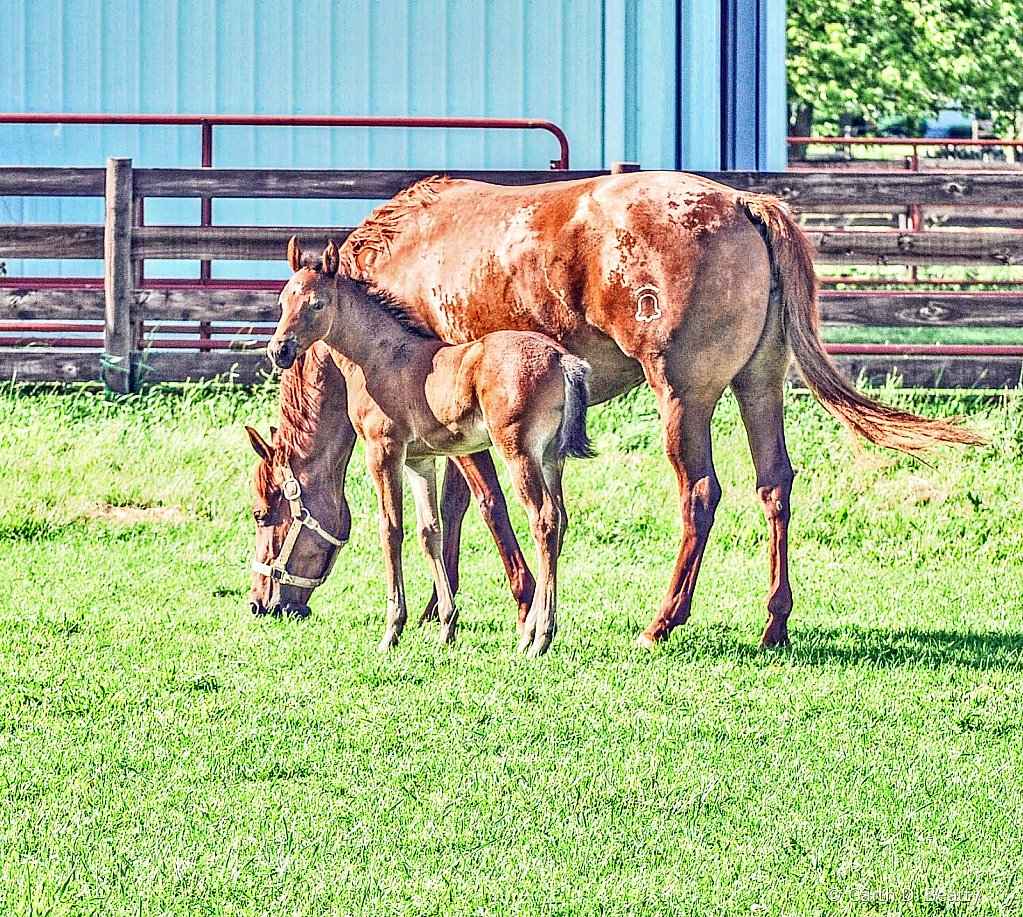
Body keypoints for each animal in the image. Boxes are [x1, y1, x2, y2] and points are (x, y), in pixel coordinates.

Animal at [251, 167, 977, 646]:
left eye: (264, 514)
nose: (262, 602)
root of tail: (744, 202)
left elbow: (487, 508)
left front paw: (519, 604)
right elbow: (454, 512)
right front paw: (441, 607)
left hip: (683, 397)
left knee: (701, 494)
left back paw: (662, 621)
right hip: (758, 384)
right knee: (775, 485)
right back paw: (773, 623)